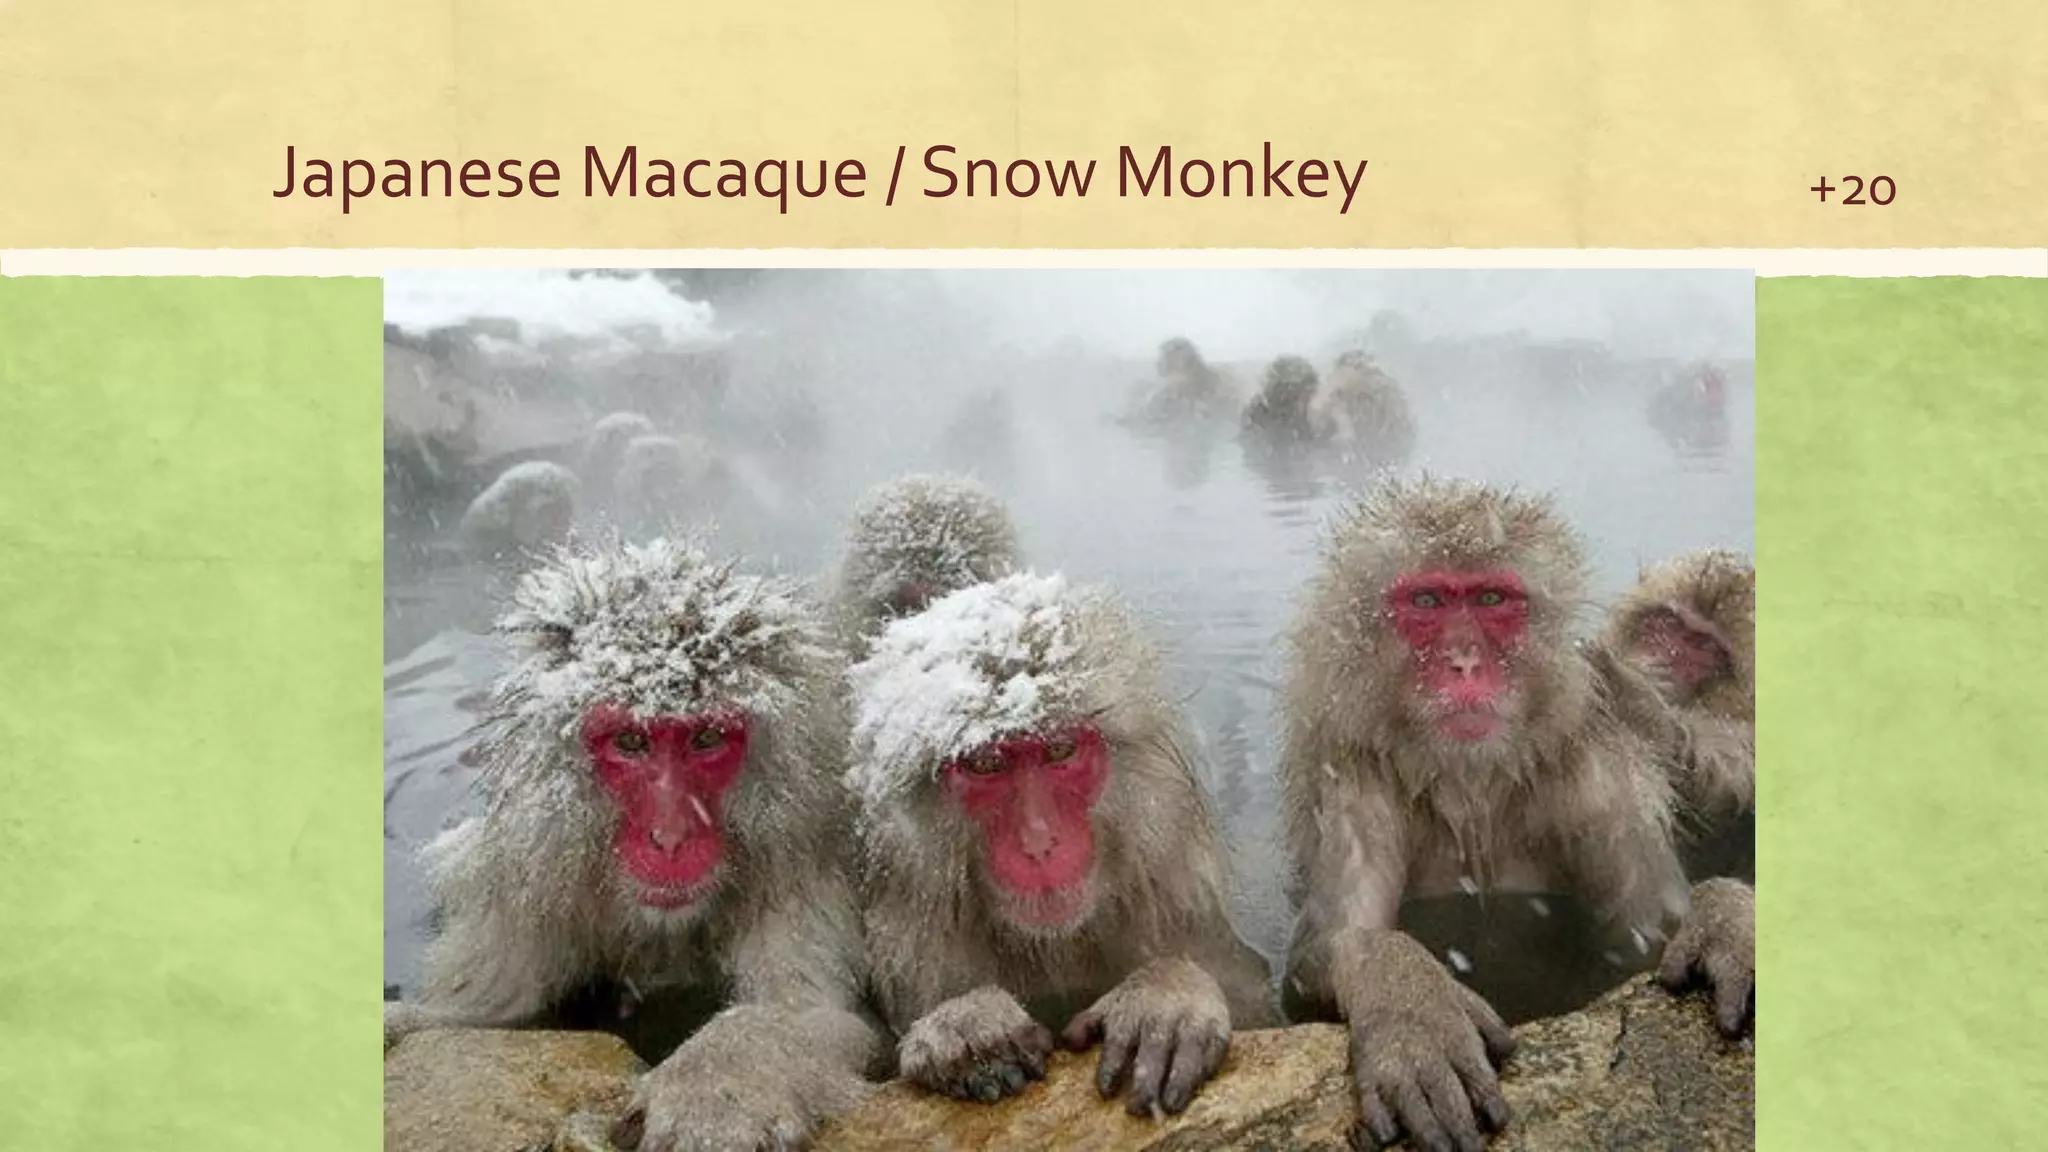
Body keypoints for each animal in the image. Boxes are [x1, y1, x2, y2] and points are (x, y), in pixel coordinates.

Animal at [383, 535, 883, 1152]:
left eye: (706, 737)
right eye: (630, 742)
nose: (669, 836)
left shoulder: (796, 870)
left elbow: (813, 1015)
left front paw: (719, 1084)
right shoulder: (530, 886)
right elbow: (483, 1013)